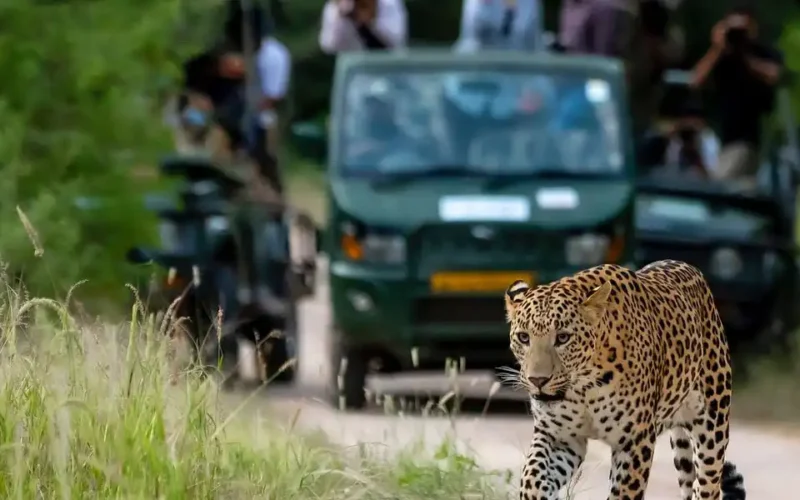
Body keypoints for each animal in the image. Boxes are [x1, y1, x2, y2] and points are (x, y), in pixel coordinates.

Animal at [504, 260, 746, 500]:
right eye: (524, 337)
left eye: (563, 338)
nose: (538, 380)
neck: (583, 387)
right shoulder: (558, 437)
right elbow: (532, 480)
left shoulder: (634, 441)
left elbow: (623, 493)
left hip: (712, 431)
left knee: (708, 485)